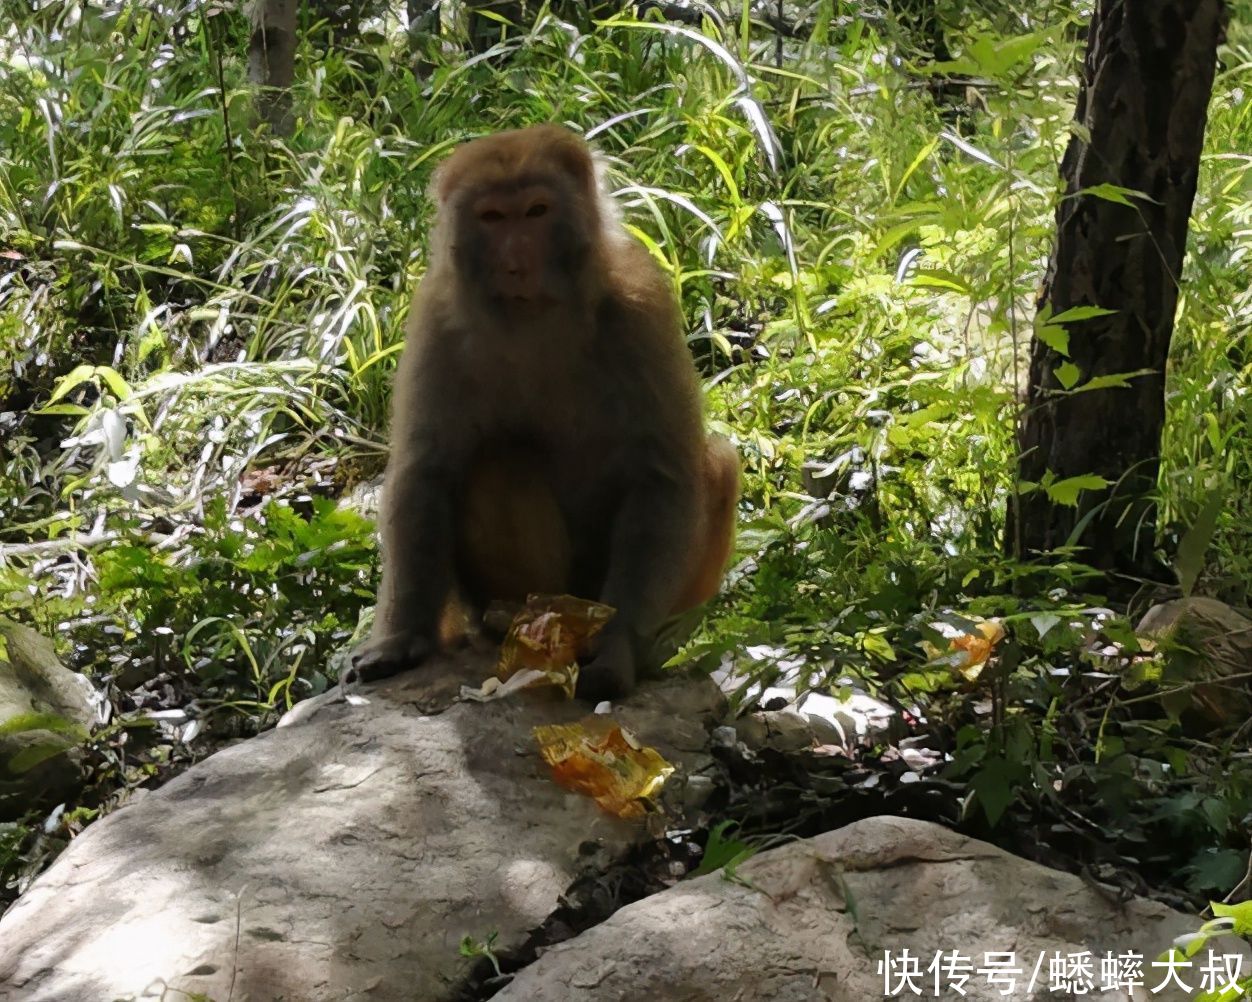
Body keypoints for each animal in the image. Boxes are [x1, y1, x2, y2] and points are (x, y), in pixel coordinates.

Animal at [348, 125, 736, 701]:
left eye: (535, 211)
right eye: (492, 217)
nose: (516, 262)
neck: (535, 317)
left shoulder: (640, 306)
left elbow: (662, 475)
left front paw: (617, 647)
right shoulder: (437, 318)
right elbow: (427, 470)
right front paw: (402, 638)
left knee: (720, 464)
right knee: (499, 464)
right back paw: (510, 620)